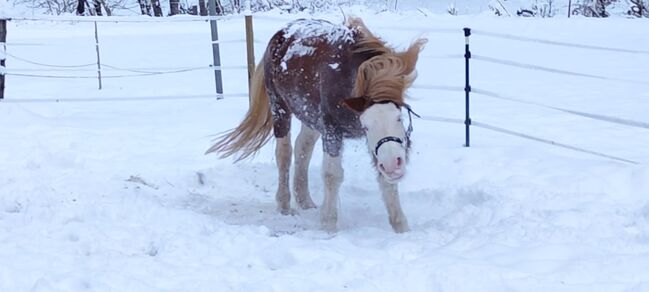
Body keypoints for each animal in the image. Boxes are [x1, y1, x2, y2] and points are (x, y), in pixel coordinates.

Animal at [206, 17, 426, 233]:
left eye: (398, 118)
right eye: (366, 126)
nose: (393, 164)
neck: (347, 79)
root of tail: (280, 34)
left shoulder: (375, 145)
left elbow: (385, 182)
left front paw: (400, 225)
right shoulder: (331, 130)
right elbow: (332, 174)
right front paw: (328, 223)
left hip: (310, 117)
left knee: (302, 149)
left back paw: (304, 200)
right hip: (280, 109)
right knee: (284, 155)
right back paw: (284, 204)